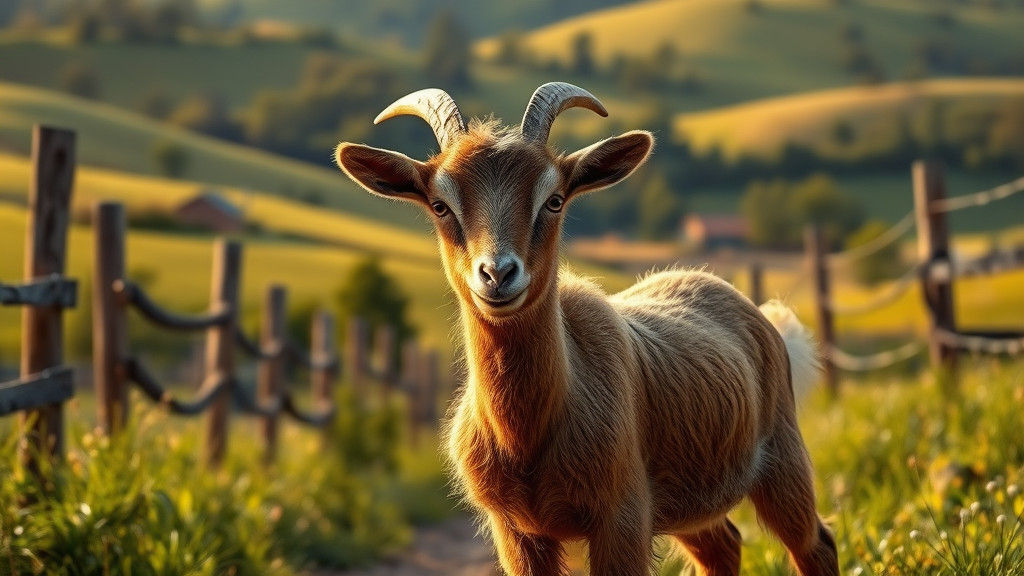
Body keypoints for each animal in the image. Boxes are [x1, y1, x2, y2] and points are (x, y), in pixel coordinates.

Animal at [335, 82, 839, 576]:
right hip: (688, 504)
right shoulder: (516, 532)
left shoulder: (622, 516)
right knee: (725, 546)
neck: (530, 436)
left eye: (554, 200)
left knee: (816, 544)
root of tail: (759, 315)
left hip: (783, 460)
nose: (498, 274)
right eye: (440, 206)